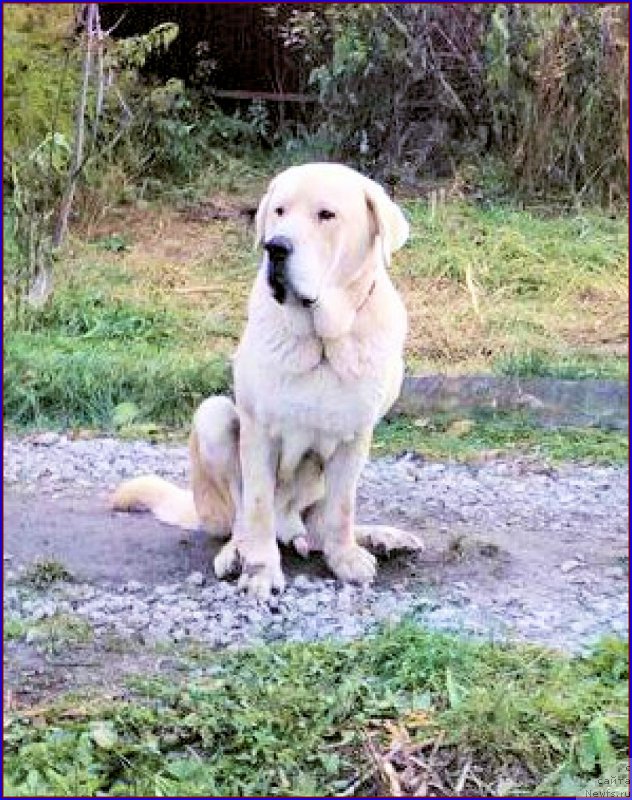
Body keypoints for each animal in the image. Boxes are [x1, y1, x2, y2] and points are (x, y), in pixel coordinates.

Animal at [111, 164, 422, 600]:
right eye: (279, 211)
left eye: (326, 215)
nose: (275, 247)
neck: (321, 343)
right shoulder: (258, 432)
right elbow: (257, 506)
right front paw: (259, 570)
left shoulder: (356, 437)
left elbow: (342, 508)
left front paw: (345, 558)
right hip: (214, 417)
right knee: (241, 518)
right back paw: (235, 553)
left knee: (319, 523)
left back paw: (379, 538)